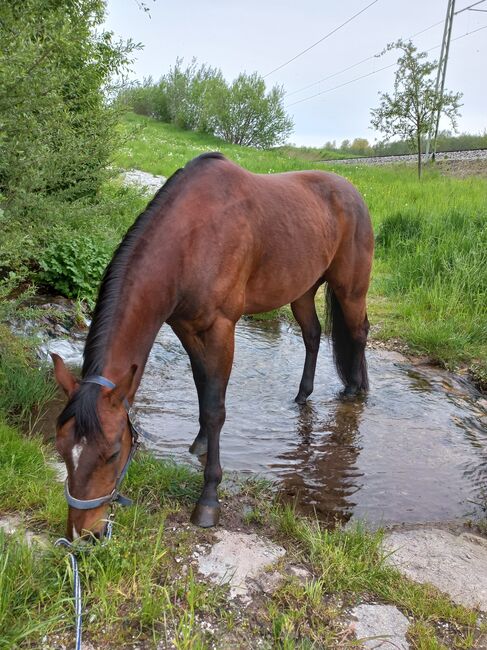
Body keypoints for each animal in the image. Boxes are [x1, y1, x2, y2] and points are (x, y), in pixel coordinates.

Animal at [52, 152, 374, 536]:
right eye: (62, 448)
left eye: (113, 452)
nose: (84, 532)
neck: (193, 237)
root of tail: (353, 192)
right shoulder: (187, 329)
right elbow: (202, 389)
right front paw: (201, 442)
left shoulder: (220, 329)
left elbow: (215, 407)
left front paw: (208, 500)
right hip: (302, 290)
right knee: (313, 336)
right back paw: (303, 395)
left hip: (350, 289)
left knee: (359, 333)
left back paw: (355, 390)